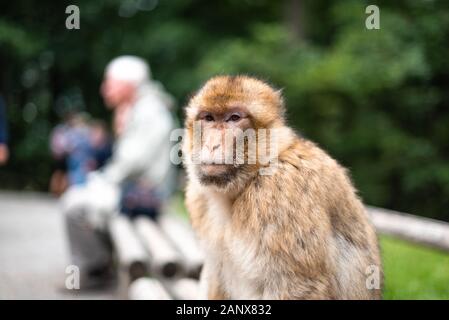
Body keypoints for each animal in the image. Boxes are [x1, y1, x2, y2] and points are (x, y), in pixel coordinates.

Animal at [182, 75, 382, 300]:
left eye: (234, 118)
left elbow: (298, 284)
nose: (212, 145)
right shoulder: (198, 197)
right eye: (208, 118)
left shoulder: (279, 192)